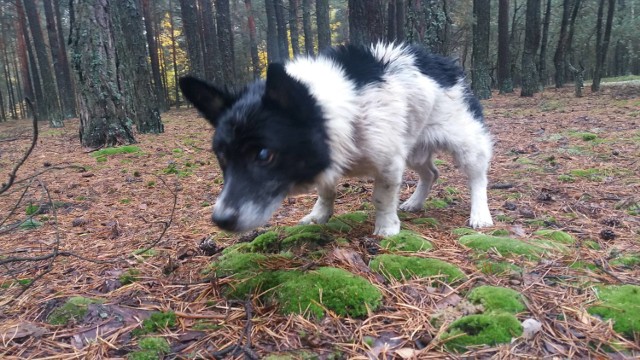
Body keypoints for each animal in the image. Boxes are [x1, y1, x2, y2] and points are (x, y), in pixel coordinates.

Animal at [180, 42, 496, 236]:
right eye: (221, 157)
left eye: (263, 155)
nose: (220, 220)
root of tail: (444, 63)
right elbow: (326, 191)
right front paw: (319, 215)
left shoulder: (389, 162)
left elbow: (382, 196)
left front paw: (386, 227)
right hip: (414, 149)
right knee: (431, 173)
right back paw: (415, 202)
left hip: (465, 144)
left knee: (478, 178)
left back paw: (480, 214)